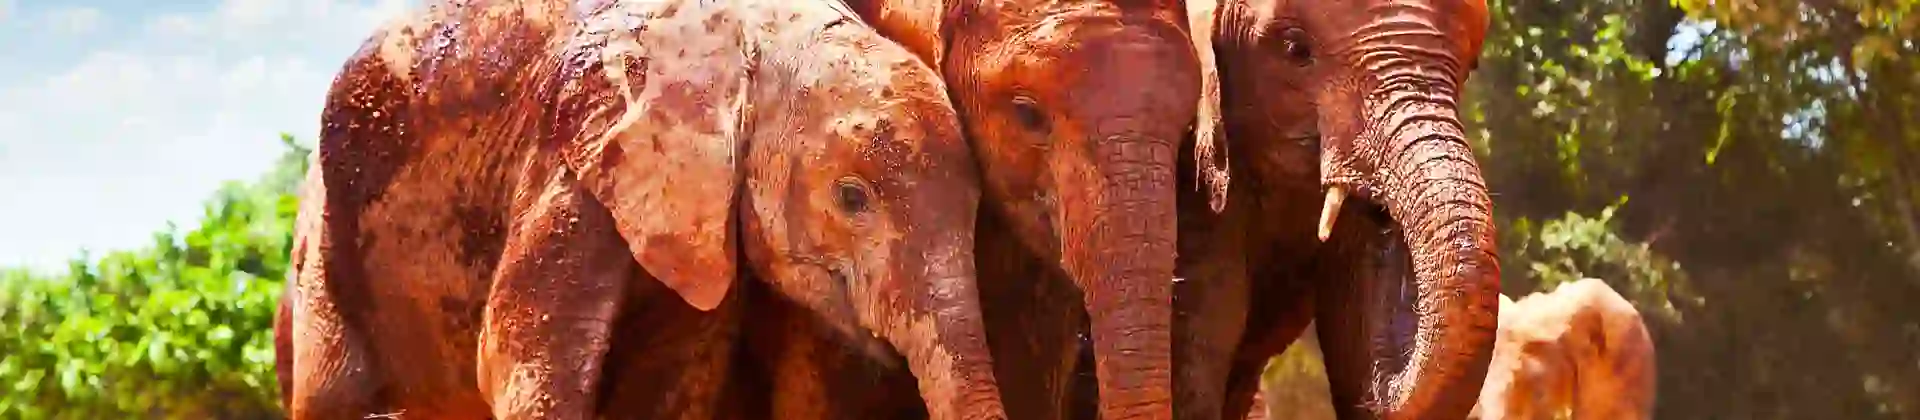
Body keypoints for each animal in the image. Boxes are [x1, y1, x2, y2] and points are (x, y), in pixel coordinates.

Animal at [272, 0, 1009, 418]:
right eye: (852, 198)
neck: (756, 32)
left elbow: (674, 378)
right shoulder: (571, 156)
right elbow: (520, 363)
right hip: (322, 241)